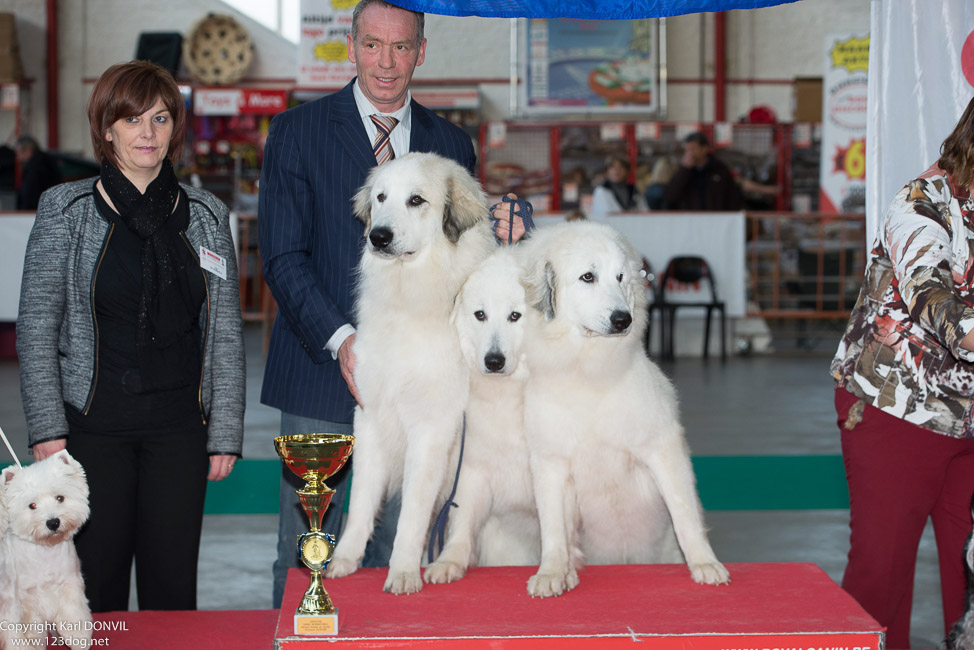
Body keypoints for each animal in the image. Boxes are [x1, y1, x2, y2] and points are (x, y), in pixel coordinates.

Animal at [2, 448, 91, 644]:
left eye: (60, 498)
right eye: (32, 505)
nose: (53, 522)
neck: (46, 550)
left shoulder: (70, 582)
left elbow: (74, 611)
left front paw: (78, 635)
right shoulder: (24, 597)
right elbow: (29, 626)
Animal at [326, 152, 496, 592]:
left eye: (416, 200)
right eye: (381, 198)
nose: (378, 236)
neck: (409, 294)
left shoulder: (432, 428)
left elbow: (413, 514)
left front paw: (402, 571)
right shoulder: (370, 416)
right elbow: (362, 498)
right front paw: (343, 559)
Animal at [428, 249, 544, 584]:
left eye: (515, 316)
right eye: (480, 315)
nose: (494, 361)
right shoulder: (474, 471)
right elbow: (462, 520)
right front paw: (449, 562)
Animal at [524, 220, 728, 596]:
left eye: (620, 277)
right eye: (588, 277)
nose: (623, 319)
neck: (587, 371)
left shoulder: (662, 448)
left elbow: (685, 513)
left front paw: (705, 564)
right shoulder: (550, 463)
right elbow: (553, 528)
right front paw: (552, 572)